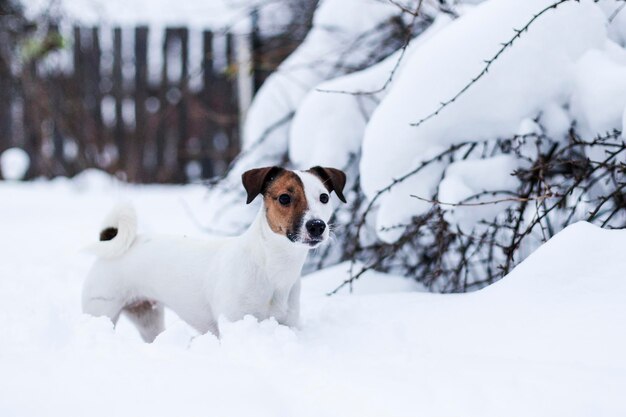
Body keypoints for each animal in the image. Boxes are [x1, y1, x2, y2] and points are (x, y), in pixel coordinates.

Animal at [81, 166, 346, 342]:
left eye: (324, 197)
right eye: (284, 198)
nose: (317, 226)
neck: (271, 268)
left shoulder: (288, 324)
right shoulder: (236, 323)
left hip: (147, 316)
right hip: (100, 310)